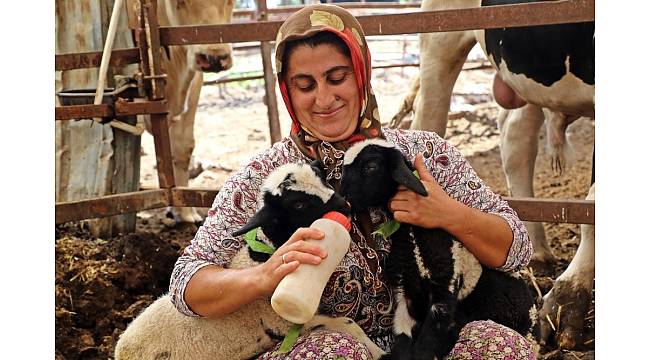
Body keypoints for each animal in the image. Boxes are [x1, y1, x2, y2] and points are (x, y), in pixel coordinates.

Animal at [115, 162, 384, 360]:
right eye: (298, 203)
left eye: (323, 179)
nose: (345, 206)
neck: (262, 255)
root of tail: (119, 349)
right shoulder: (284, 324)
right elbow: (349, 323)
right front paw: (380, 352)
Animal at [340, 138, 536, 360]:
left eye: (370, 167)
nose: (342, 197)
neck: (415, 241)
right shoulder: (404, 290)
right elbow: (402, 338)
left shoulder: (445, 288)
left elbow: (426, 344)